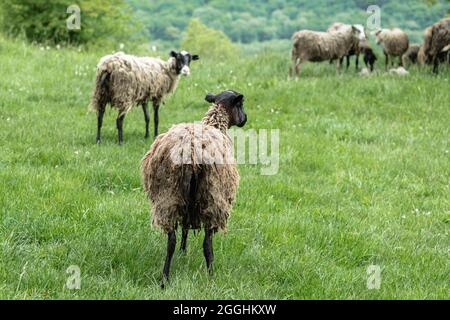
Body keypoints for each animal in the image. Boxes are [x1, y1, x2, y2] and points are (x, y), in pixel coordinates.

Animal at [141, 90, 248, 288]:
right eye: (241, 105)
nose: (245, 119)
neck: (215, 123)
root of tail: (191, 152)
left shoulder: (187, 204)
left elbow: (184, 228)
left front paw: (183, 251)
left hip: (170, 196)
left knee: (171, 240)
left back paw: (164, 279)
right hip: (212, 198)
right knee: (207, 243)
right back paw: (211, 276)